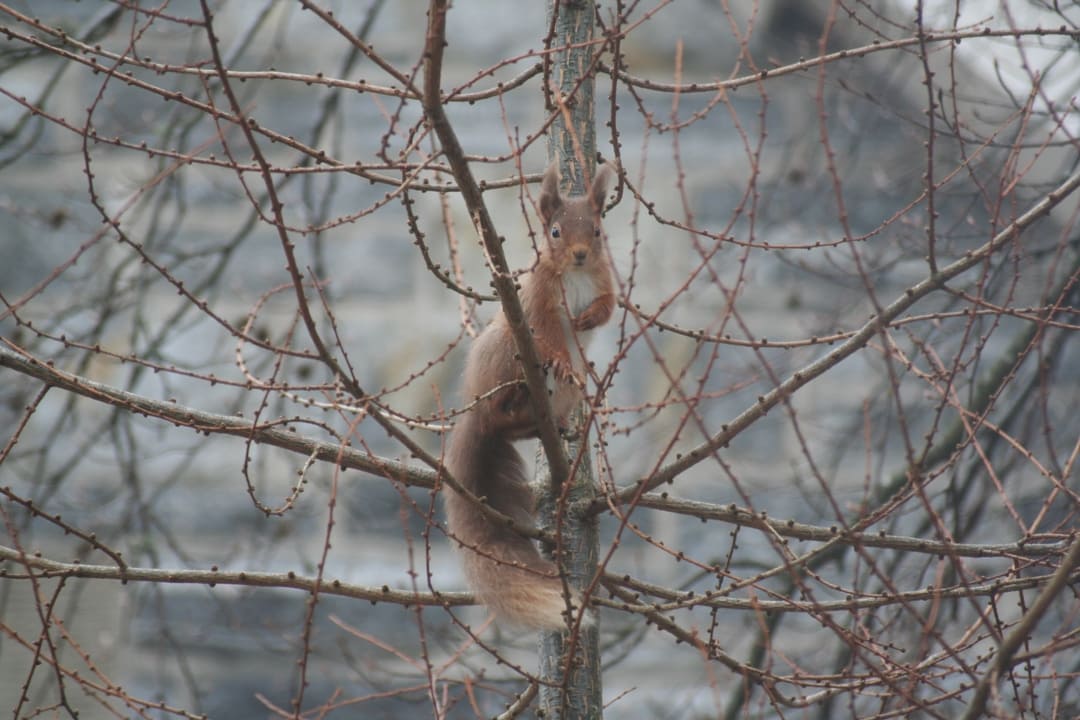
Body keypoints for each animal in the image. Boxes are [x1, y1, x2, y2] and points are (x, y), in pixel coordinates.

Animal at [444, 162, 615, 630]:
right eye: (554, 231)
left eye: (597, 230)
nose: (579, 254)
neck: (576, 275)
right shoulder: (537, 302)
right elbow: (550, 333)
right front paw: (561, 356)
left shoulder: (606, 280)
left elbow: (609, 306)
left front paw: (590, 318)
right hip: (505, 351)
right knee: (498, 412)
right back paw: (514, 400)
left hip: (568, 395)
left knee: (520, 428)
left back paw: (551, 424)